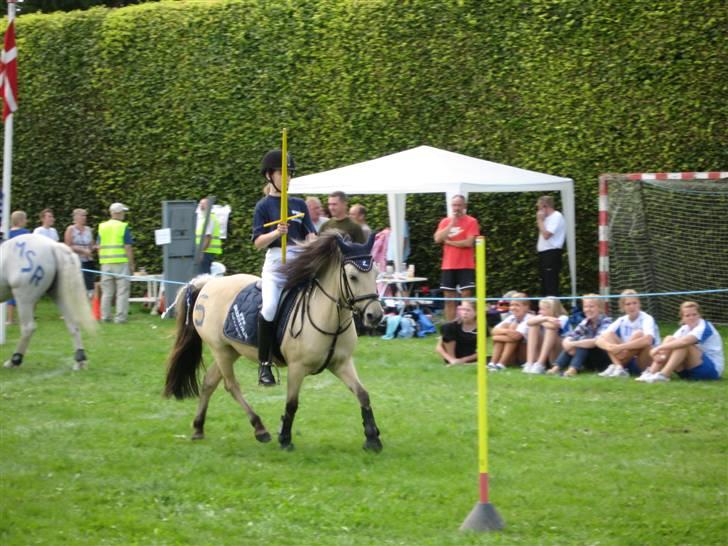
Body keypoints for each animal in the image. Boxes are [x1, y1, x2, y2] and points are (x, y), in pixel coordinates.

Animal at [0, 232, 96, 368]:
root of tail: (52, 245)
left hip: (24, 299)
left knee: (28, 328)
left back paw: (14, 360)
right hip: (59, 296)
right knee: (72, 324)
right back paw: (80, 360)